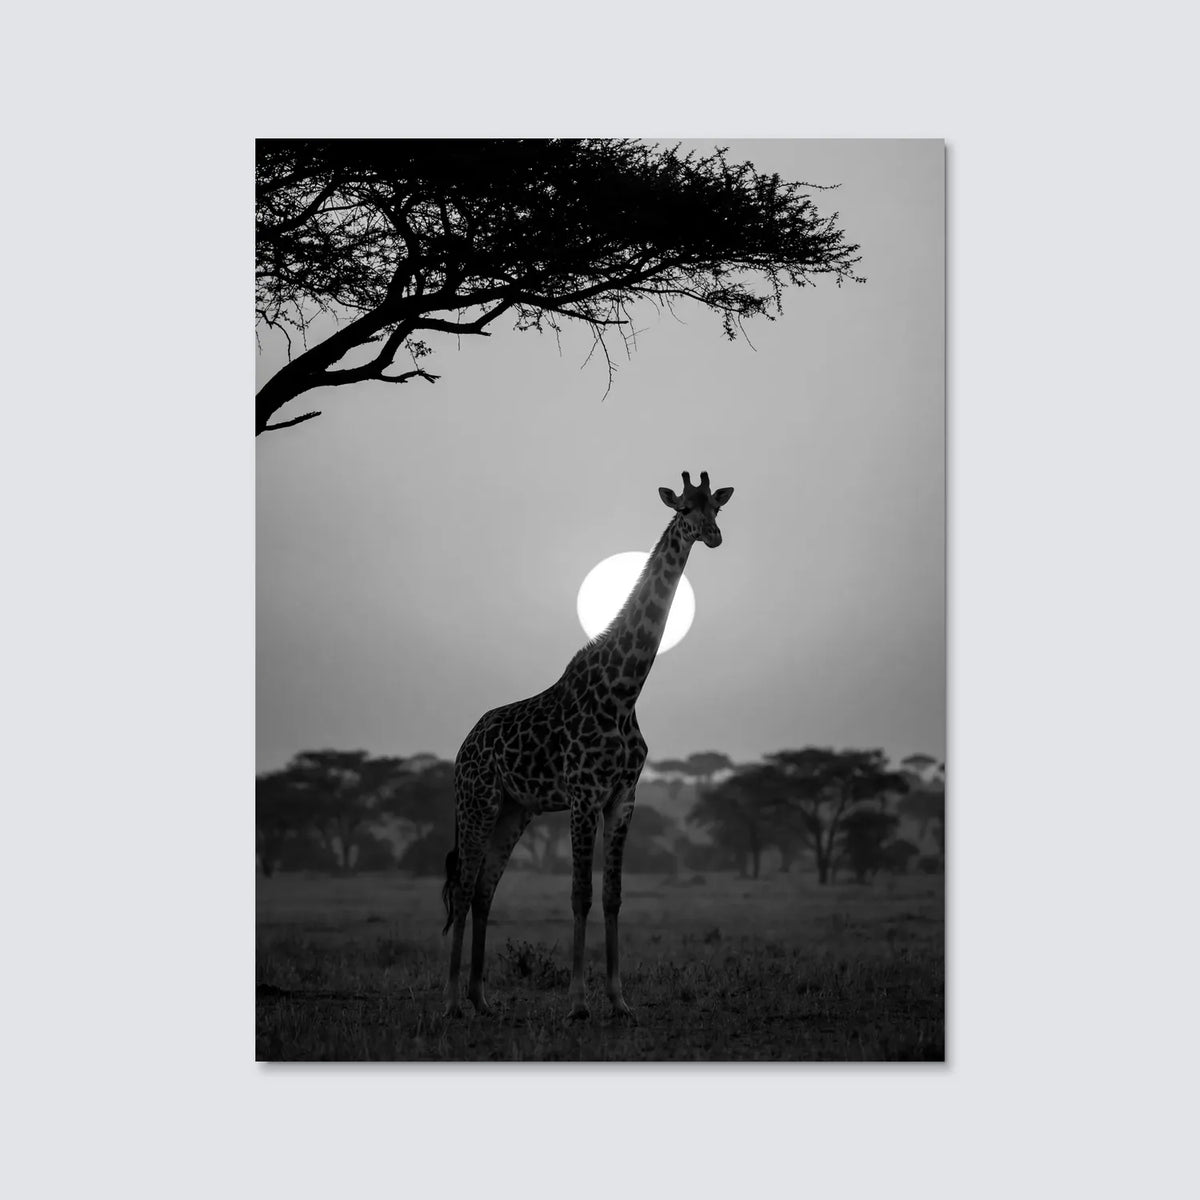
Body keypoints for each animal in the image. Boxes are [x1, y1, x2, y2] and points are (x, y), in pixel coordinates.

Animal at [441, 470, 735, 1021]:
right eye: (684, 508)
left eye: (717, 508)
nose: (713, 536)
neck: (624, 691)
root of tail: (463, 748)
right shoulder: (582, 796)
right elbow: (580, 894)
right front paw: (577, 1003)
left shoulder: (622, 798)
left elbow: (613, 895)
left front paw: (619, 1001)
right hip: (478, 802)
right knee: (465, 886)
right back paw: (451, 1002)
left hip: (515, 809)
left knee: (485, 890)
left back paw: (482, 999)